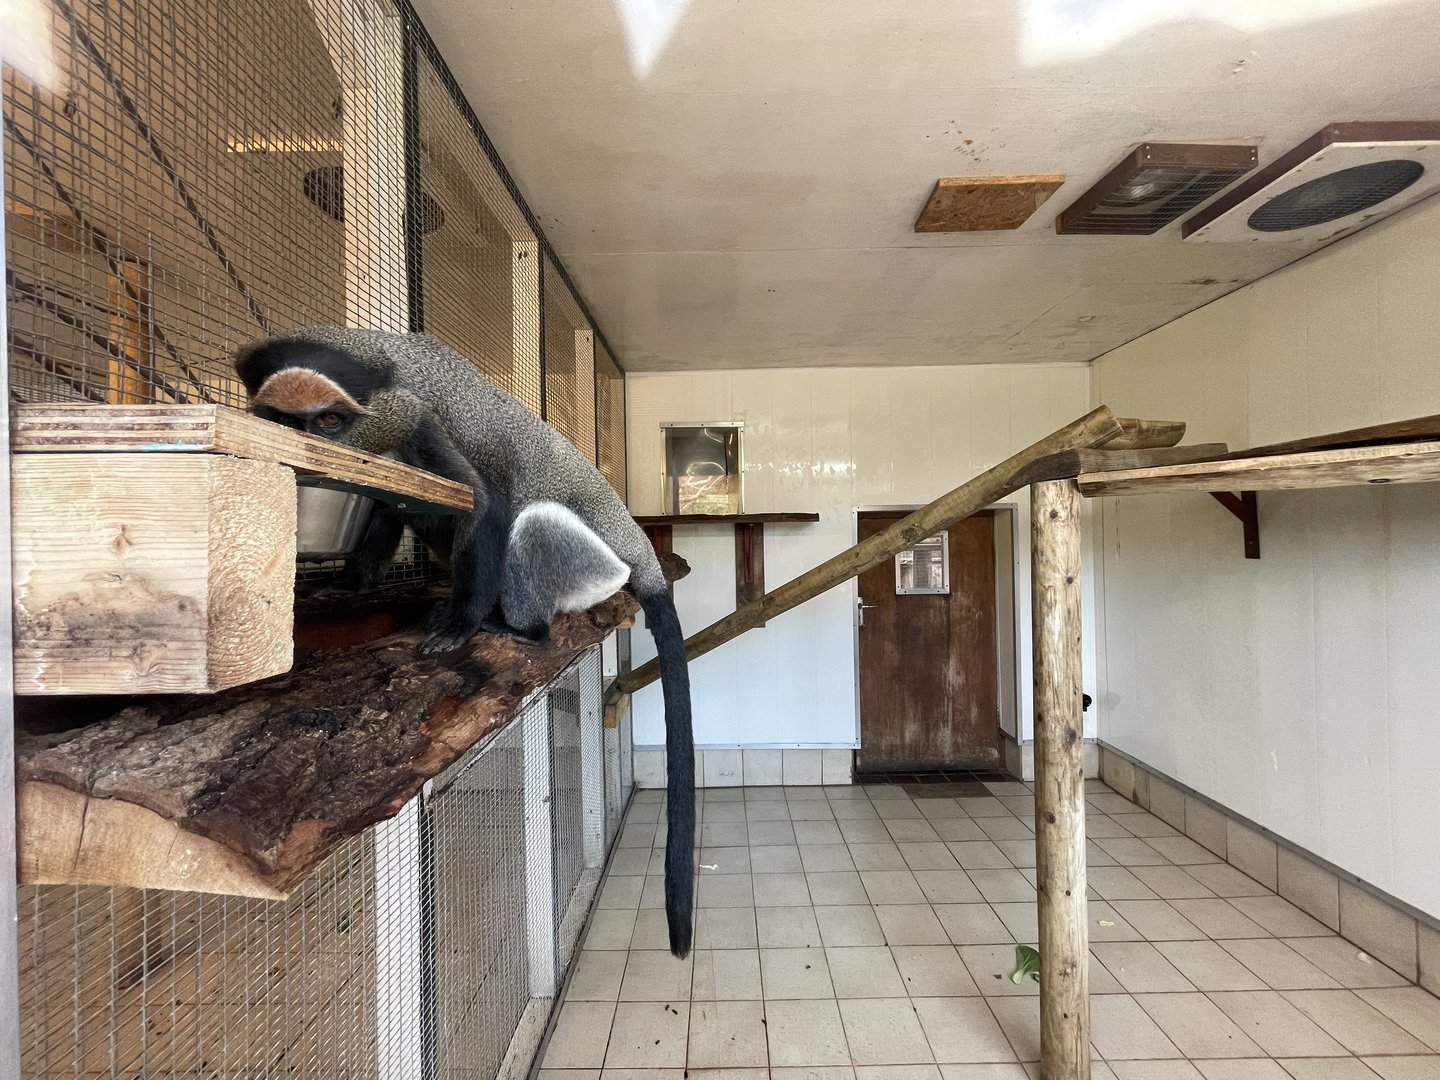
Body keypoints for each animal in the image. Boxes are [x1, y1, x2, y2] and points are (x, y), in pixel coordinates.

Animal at [235, 326, 695, 957]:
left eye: (328, 421)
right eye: (282, 418)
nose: (307, 445)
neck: (371, 362)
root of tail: (640, 556)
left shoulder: (416, 419)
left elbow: (482, 501)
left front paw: (460, 622)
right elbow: (385, 504)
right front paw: (348, 583)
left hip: (596, 570)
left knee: (533, 522)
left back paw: (517, 626)